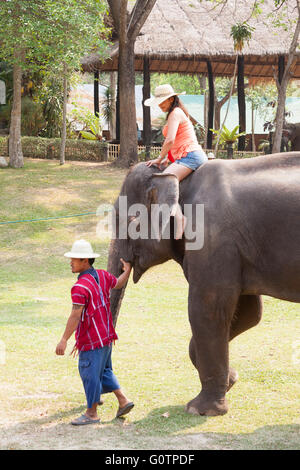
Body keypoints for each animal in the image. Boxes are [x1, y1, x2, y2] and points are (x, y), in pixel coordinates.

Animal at [107, 152, 300, 416]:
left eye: (127, 219)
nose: (123, 409)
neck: (178, 180)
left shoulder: (212, 239)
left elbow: (207, 310)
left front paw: (199, 410)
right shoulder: (234, 250)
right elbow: (250, 312)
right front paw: (232, 380)